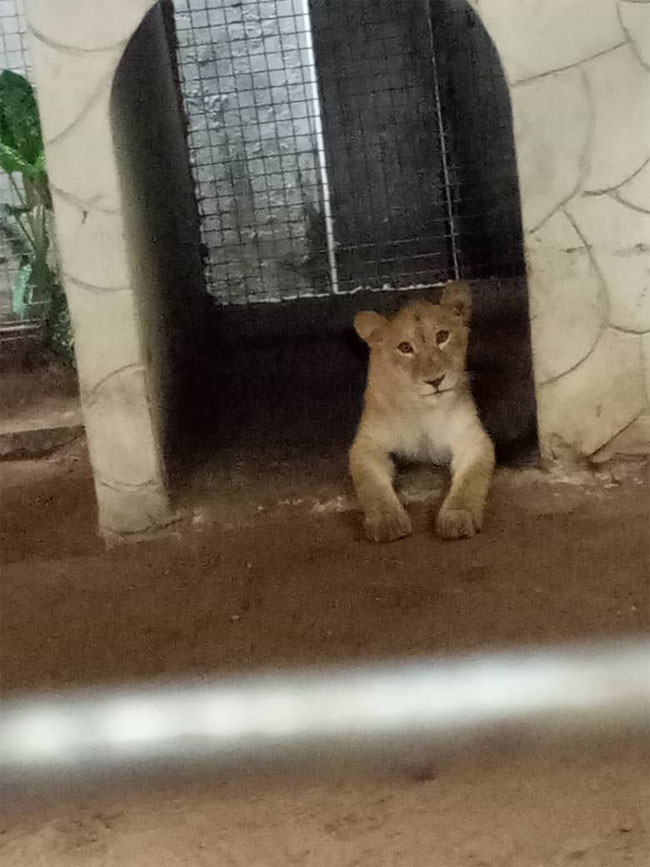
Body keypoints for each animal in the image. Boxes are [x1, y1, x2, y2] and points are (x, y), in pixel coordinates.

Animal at [349, 281, 495, 543]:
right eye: (405, 347)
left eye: (442, 336)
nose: (435, 381)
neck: (423, 410)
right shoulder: (367, 444)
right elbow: (371, 485)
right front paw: (386, 520)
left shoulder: (473, 439)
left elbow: (472, 478)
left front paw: (458, 515)